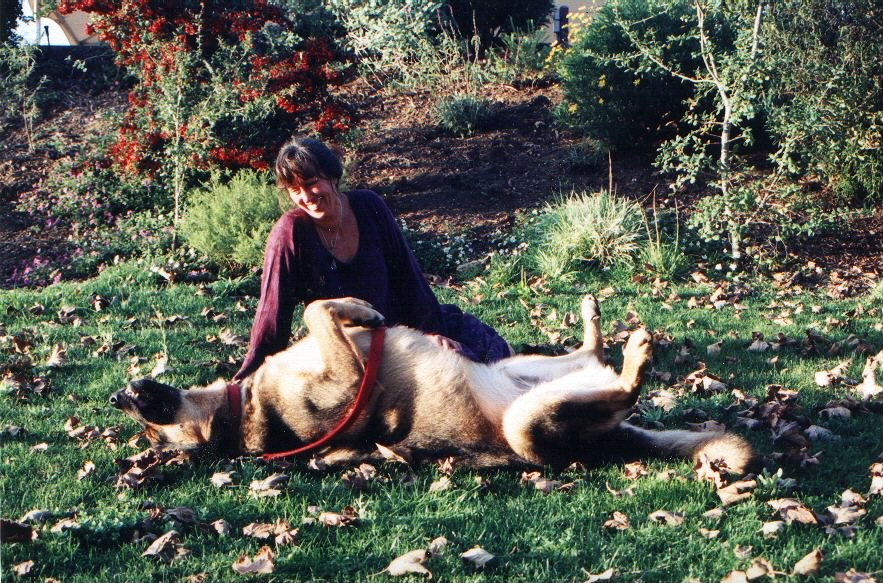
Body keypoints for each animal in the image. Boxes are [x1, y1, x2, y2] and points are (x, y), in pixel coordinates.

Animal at [112, 294, 752, 472]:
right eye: (153, 434)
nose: (123, 394)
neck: (235, 413)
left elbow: (322, 310)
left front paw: (362, 311)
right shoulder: (345, 377)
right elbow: (318, 309)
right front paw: (361, 312)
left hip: (518, 369)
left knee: (588, 354)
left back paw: (595, 321)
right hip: (527, 425)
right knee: (622, 388)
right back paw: (635, 355)